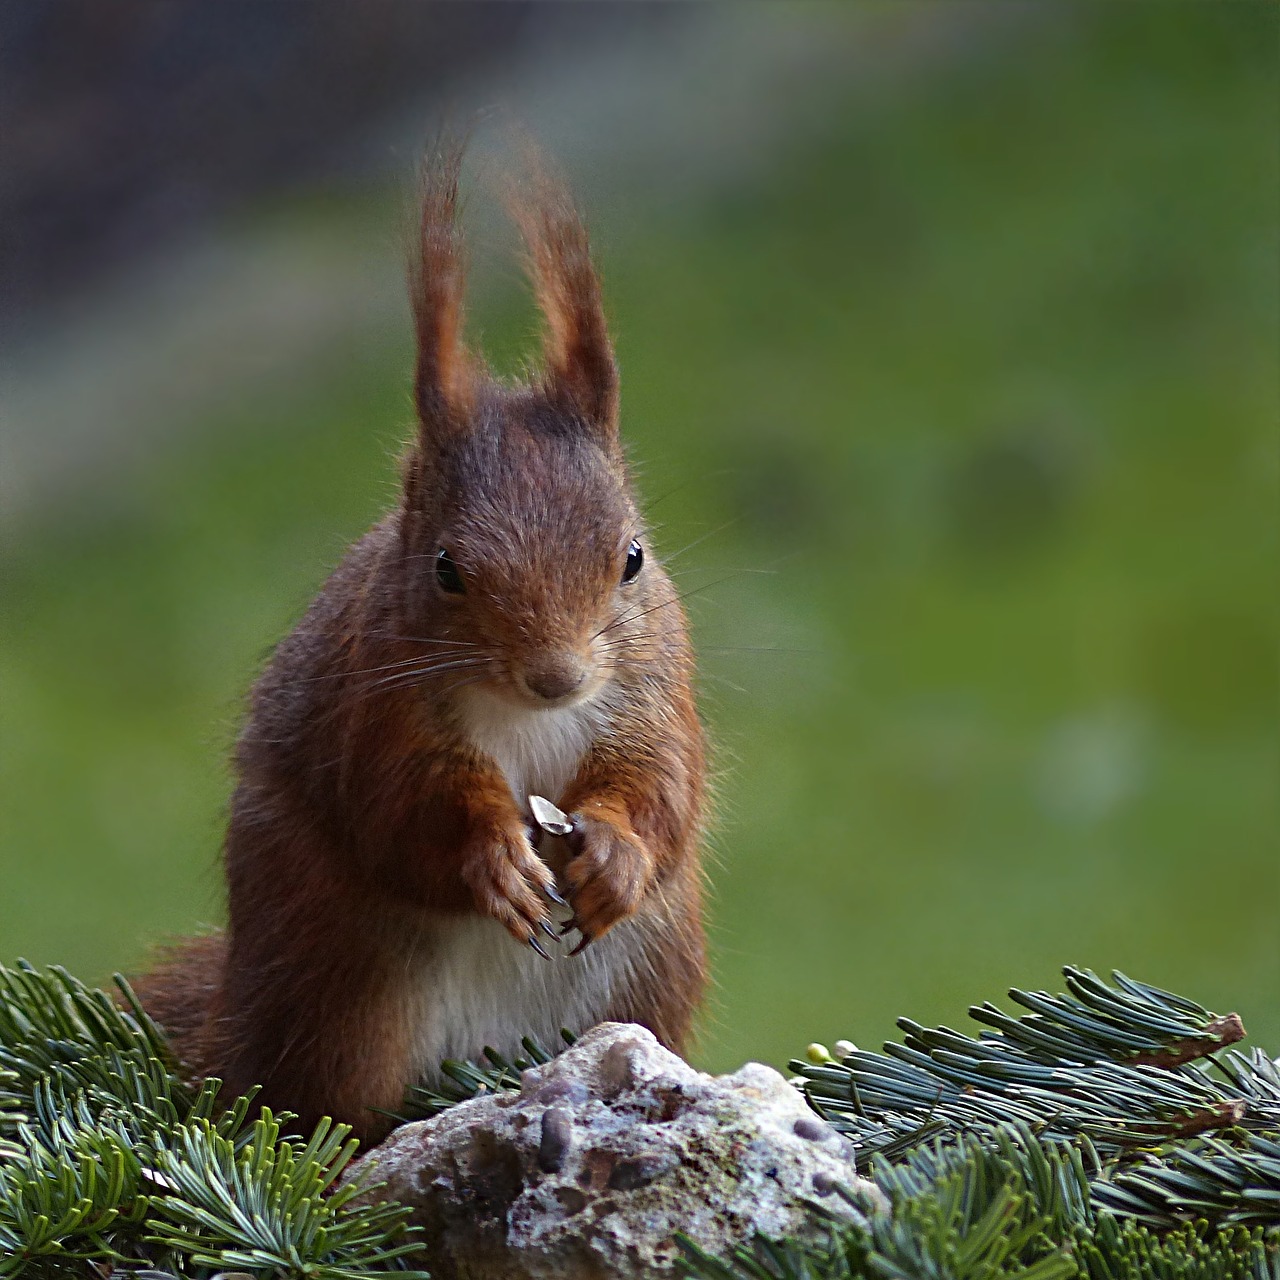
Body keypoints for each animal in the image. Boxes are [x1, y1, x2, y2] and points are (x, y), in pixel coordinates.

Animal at [136, 140, 716, 1141]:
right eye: (447, 568)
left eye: (633, 558)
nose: (557, 677)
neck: (524, 717)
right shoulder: (374, 708)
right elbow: (400, 814)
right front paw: (492, 860)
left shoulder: (651, 692)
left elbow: (660, 792)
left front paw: (615, 856)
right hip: (342, 989)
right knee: (320, 1109)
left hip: (647, 974)